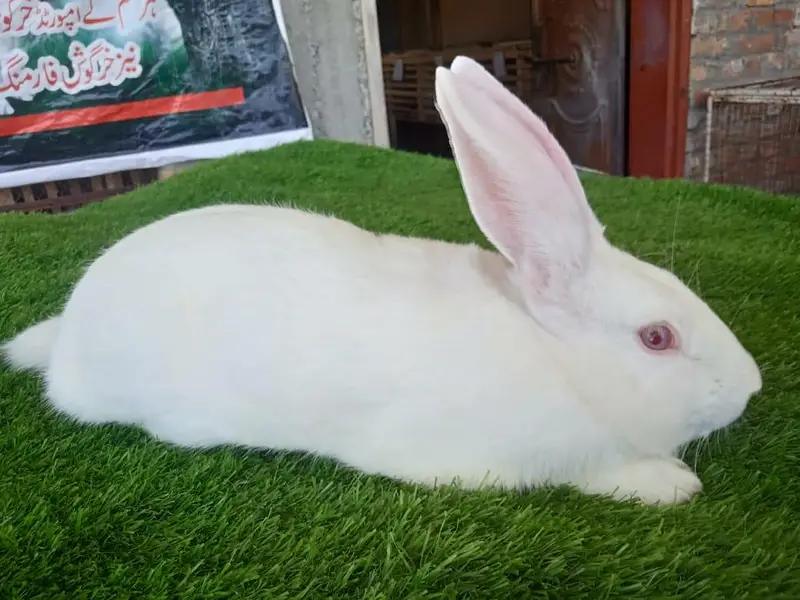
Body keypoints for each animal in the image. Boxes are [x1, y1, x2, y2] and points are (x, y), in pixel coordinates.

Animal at [2, 56, 762, 505]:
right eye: (657, 338)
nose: (751, 387)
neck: (557, 360)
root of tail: (67, 334)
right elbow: (592, 474)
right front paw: (671, 482)